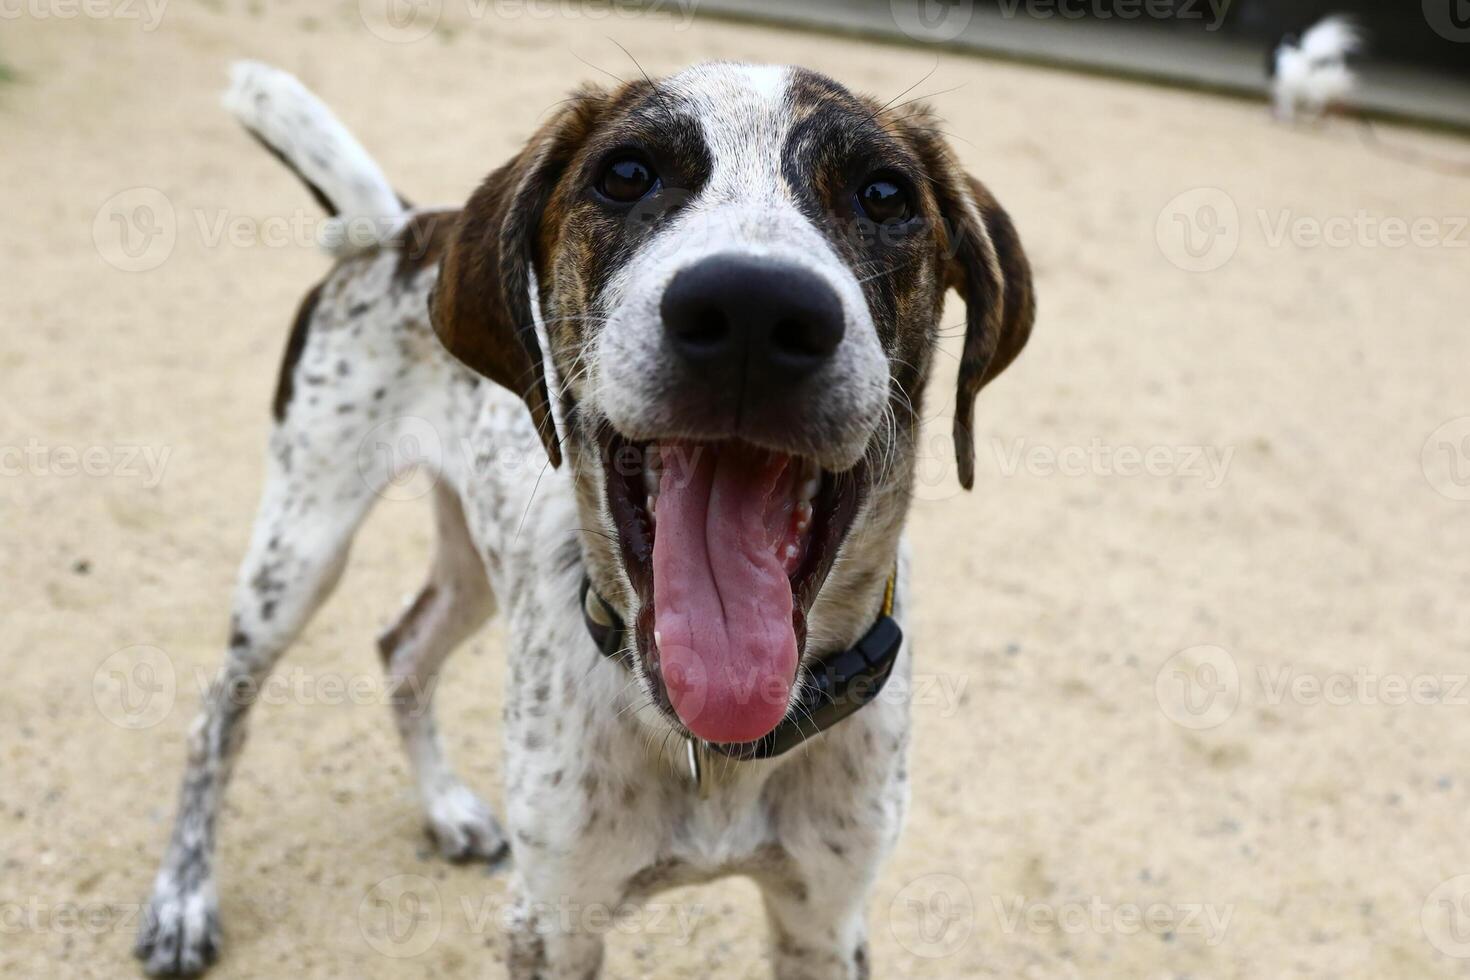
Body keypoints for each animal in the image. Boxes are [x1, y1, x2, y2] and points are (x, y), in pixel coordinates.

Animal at [138, 57, 1034, 975]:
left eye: (885, 194)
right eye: (627, 174)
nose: (753, 310)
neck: (714, 750)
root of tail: (395, 226)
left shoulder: (825, 920)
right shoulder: (552, 919)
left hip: (476, 564)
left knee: (403, 647)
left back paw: (445, 806)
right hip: (300, 546)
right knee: (215, 719)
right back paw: (183, 899)